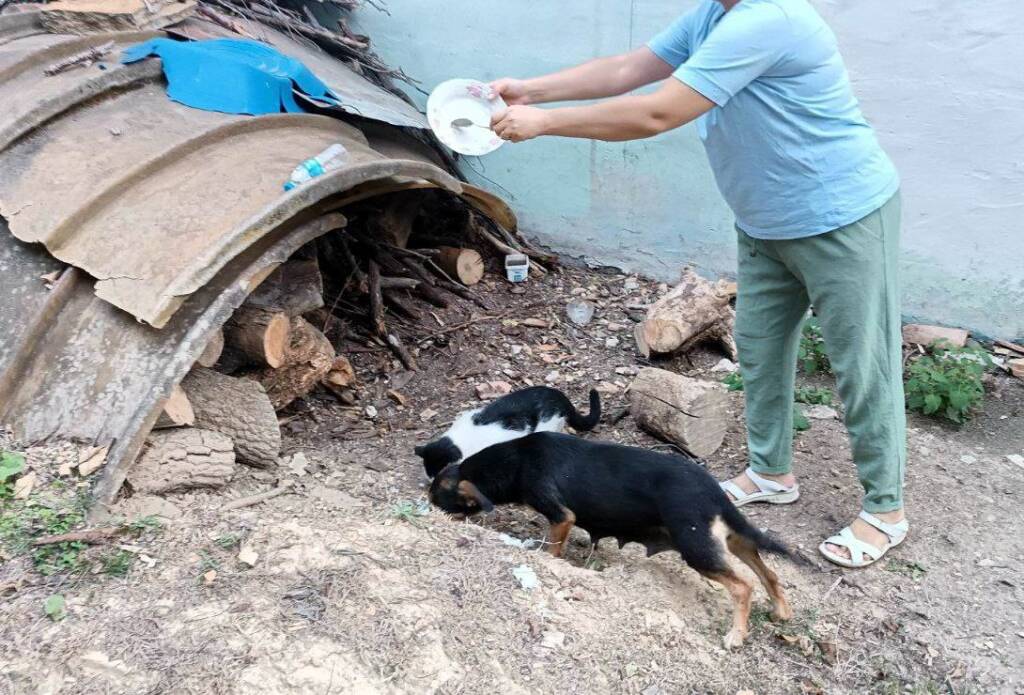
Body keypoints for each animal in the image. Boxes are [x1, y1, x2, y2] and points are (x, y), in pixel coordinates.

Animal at [428, 431, 794, 650]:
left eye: (436, 498)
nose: (425, 507)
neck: (516, 460)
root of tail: (715, 493)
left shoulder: (561, 516)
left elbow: (552, 549)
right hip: (731, 540)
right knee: (769, 573)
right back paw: (781, 612)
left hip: (696, 547)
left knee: (744, 585)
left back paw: (736, 634)